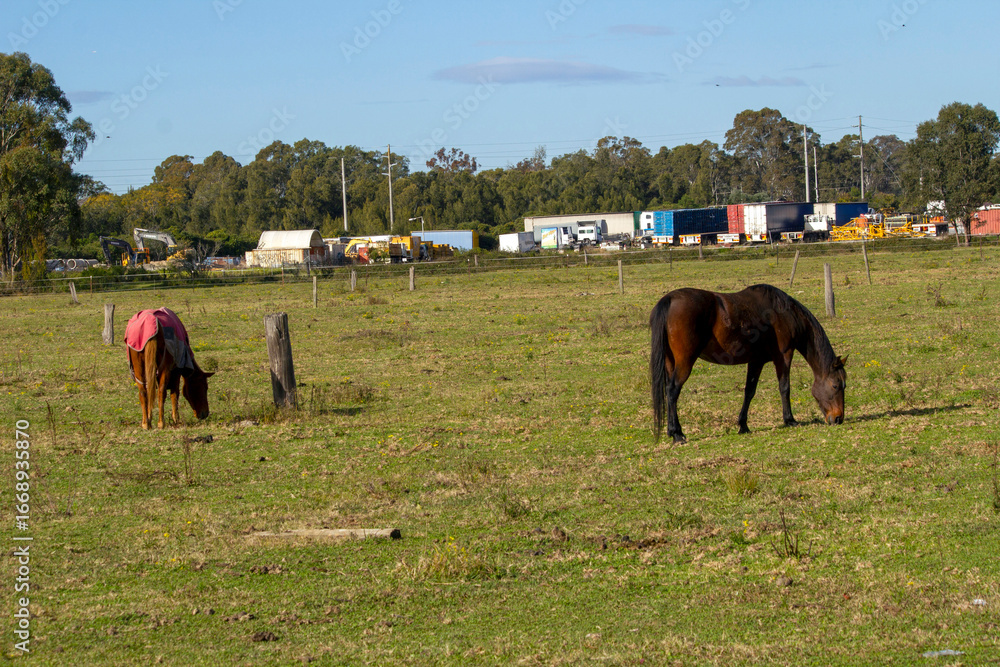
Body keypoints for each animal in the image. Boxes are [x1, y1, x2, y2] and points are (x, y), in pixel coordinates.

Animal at [650, 284, 846, 443]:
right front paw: (790, 420)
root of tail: (669, 299)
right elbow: (785, 387)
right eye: (836, 386)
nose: (839, 419)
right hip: (685, 362)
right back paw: (677, 434)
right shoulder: (783, 356)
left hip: (670, 362)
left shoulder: (756, 361)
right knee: (673, 391)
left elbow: (749, 392)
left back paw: (672, 431)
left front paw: (743, 425)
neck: (785, 314)